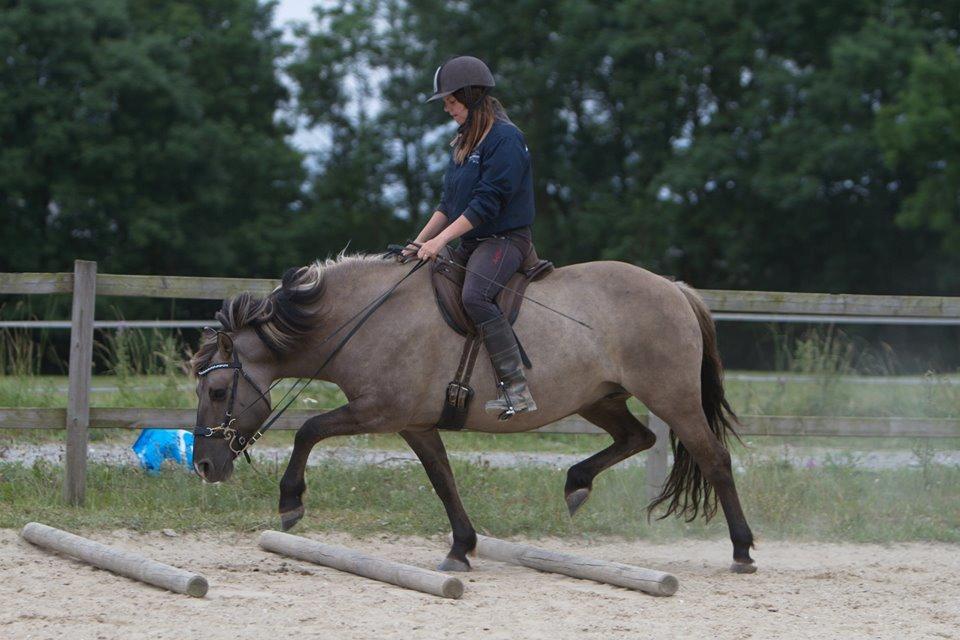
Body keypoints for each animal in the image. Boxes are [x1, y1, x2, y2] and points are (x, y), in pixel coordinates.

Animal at [189, 255, 756, 576]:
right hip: (601, 398)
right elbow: (442, 479)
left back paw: (743, 551)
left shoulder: (379, 412)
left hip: (672, 398)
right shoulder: (414, 423)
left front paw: (290, 502)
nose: (204, 466)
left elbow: (308, 430)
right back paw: (576, 483)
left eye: (216, 390)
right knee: (637, 438)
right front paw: (461, 548)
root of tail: (674, 288)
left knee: (714, 459)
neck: (364, 317)